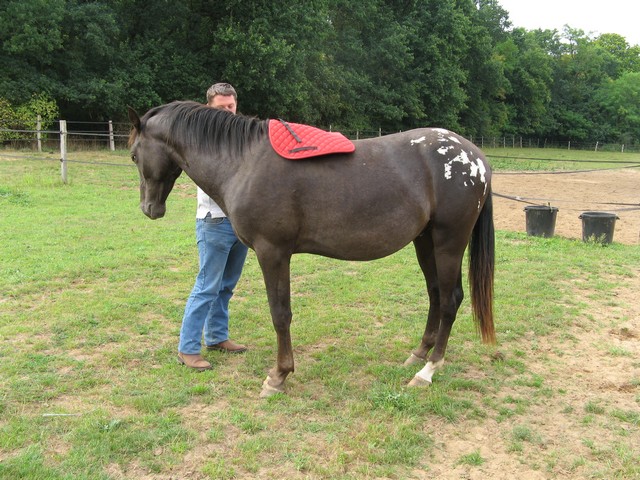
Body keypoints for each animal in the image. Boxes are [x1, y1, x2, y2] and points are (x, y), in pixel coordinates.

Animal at [128, 101, 495, 398]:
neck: (244, 162)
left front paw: (278, 376)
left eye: (133, 155)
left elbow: (280, 314)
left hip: (449, 243)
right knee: (435, 295)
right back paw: (418, 355)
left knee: (450, 301)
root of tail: (476, 158)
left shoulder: (273, 252)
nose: (149, 208)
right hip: (425, 242)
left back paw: (427, 371)